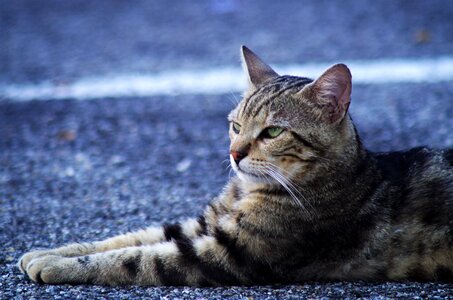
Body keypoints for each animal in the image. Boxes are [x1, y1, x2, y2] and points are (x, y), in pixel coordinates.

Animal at [17, 45, 452, 284]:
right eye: (235, 126)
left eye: (273, 132)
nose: (235, 153)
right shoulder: (202, 224)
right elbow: (121, 239)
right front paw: (50, 252)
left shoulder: (227, 253)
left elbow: (133, 258)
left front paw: (56, 266)